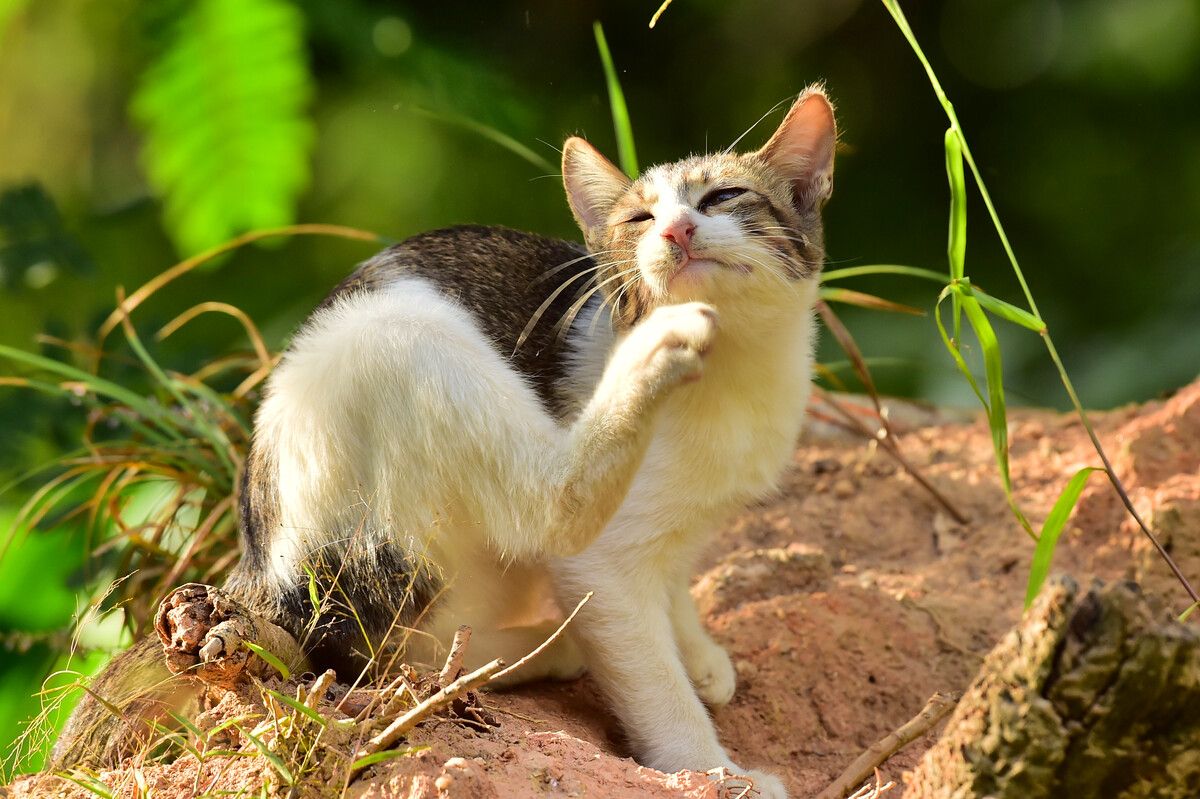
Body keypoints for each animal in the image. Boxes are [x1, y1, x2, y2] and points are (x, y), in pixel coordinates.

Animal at [54, 86, 835, 796]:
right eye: (640, 218)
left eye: (724, 197)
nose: (674, 233)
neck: (733, 379)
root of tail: (259, 568)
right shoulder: (603, 565)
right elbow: (648, 668)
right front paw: (715, 769)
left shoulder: (689, 518)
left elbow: (672, 585)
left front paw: (696, 651)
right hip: (406, 348)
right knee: (486, 568)